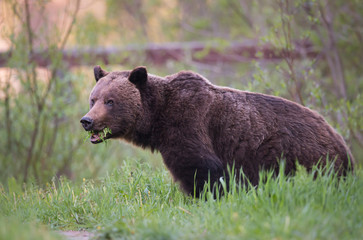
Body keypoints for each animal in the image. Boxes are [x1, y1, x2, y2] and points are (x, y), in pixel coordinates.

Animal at [80, 65, 356, 195]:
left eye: (110, 101)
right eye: (93, 99)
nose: (86, 121)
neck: (157, 118)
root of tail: (344, 146)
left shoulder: (189, 123)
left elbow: (200, 167)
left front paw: (203, 196)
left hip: (297, 152)